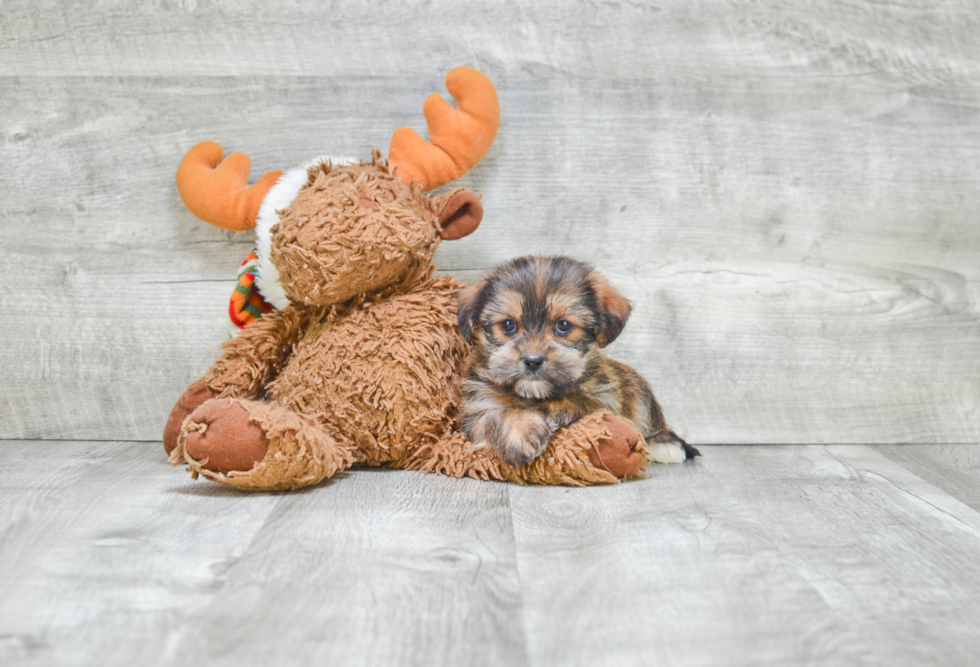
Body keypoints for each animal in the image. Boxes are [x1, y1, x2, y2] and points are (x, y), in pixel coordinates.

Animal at [460, 256, 696, 470]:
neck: (536, 394)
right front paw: (520, 433)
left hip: (638, 389)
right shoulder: (477, 405)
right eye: (508, 325)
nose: (533, 360)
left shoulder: (607, 399)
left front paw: (555, 409)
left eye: (563, 325)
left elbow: (584, 401)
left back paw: (663, 445)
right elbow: (493, 416)